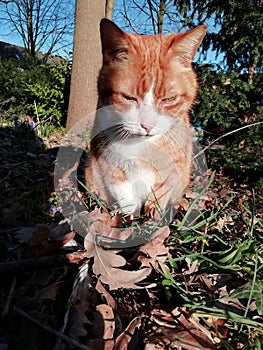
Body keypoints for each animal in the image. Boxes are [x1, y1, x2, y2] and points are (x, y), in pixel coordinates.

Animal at [85, 19, 208, 216]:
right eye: (128, 97)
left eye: (169, 99)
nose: (147, 126)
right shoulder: (107, 160)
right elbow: (125, 195)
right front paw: (129, 218)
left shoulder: (171, 168)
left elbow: (159, 193)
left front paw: (152, 217)